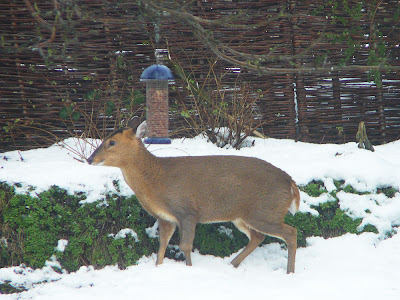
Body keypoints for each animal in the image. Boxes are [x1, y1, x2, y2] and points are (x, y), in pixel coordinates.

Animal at [87, 118, 300, 274]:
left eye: (111, 142)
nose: (89, 159)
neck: (156, 180)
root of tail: (291, 184)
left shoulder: (187, 211)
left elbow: (185, 246)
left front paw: (189, 269)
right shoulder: (165, 218)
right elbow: (161, 247)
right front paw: (159, 268)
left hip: (265, 211)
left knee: (290, 232)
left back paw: (289, 272)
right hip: (243, 216)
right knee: (258, 236)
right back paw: (232, 265)